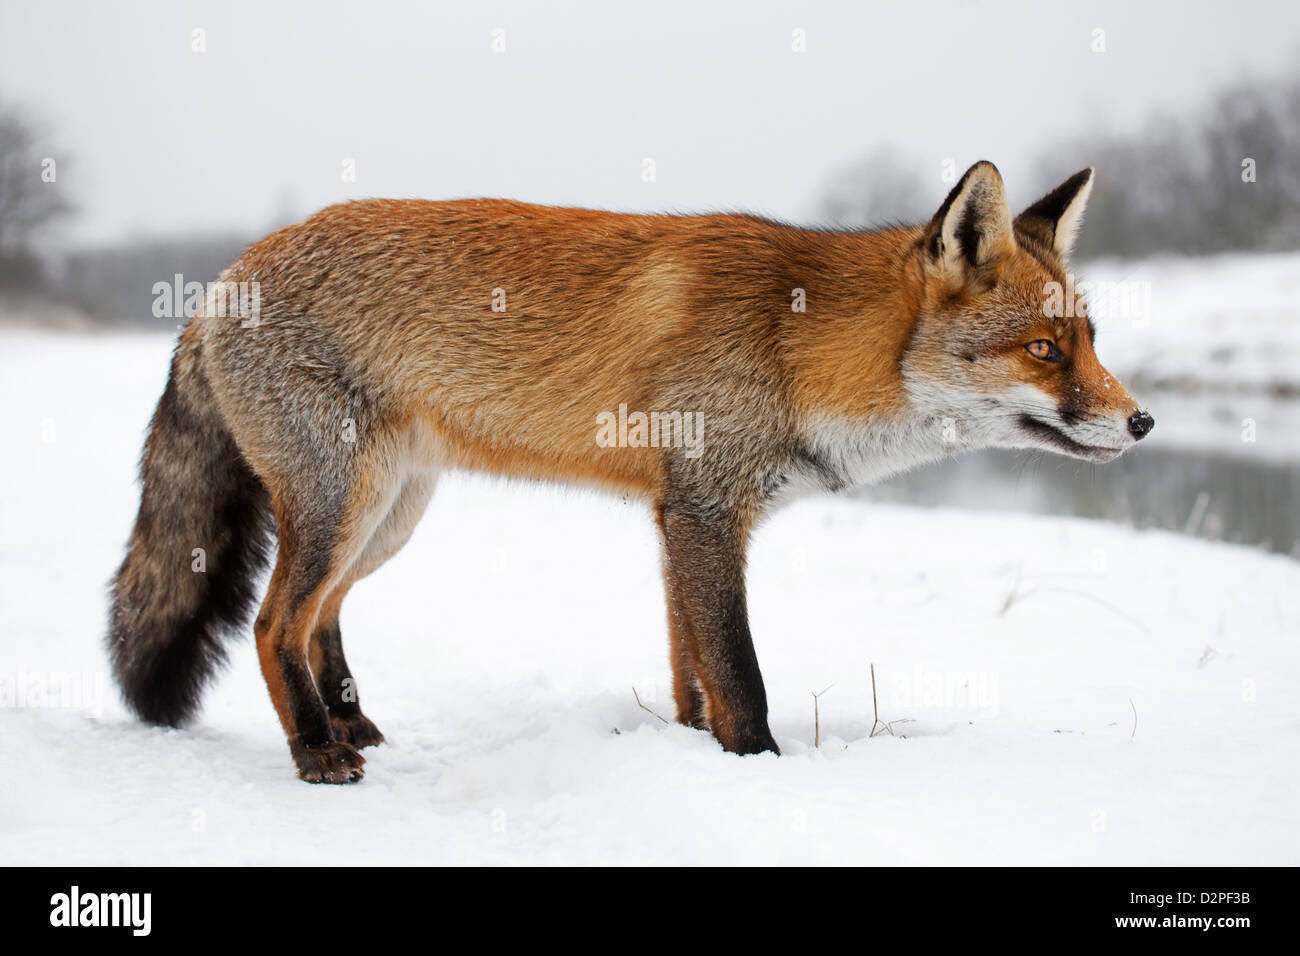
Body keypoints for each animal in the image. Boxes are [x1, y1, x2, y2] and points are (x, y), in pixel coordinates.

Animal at [109, 160, 1149, 780]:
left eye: (1092, 340)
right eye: (1045, 350)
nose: (1142, 421)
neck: (799, 348)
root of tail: (219, 282)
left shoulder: (676, 518)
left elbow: (691, 672)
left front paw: (691, 751)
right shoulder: (704, 514)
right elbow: (740, 674)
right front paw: (758, 770)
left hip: (386, 516)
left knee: (321, 613)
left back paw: (348, 723)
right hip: (341, 502)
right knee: (272, 622)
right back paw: (317, 752)